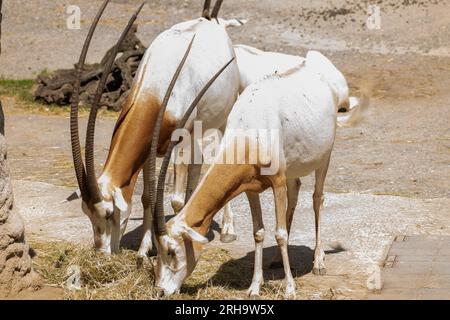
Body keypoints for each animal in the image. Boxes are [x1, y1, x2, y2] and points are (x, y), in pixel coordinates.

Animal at [69, 0, 243, 255]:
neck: (155, 91)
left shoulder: (180, 141)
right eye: (86, 212)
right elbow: (147, 197)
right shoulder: (147, 153)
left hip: (222, 118)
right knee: (198, 162)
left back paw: (228, 230)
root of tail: (211, 22)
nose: (101, 252)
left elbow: (175, 200)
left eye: (109, 213)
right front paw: (145, 249)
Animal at [148, 50, 370, 298]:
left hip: (324, 159)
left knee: (317, 198)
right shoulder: (250, 188)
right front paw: (254, 287)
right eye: (158, 251)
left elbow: (280, 233)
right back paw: (277, 260)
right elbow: (259, 232)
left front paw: (290, 289)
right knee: (295, 191)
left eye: (172, 250)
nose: (160, 291)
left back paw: (319, 262)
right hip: (292, 169)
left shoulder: (277, 181)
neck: (249, 133)